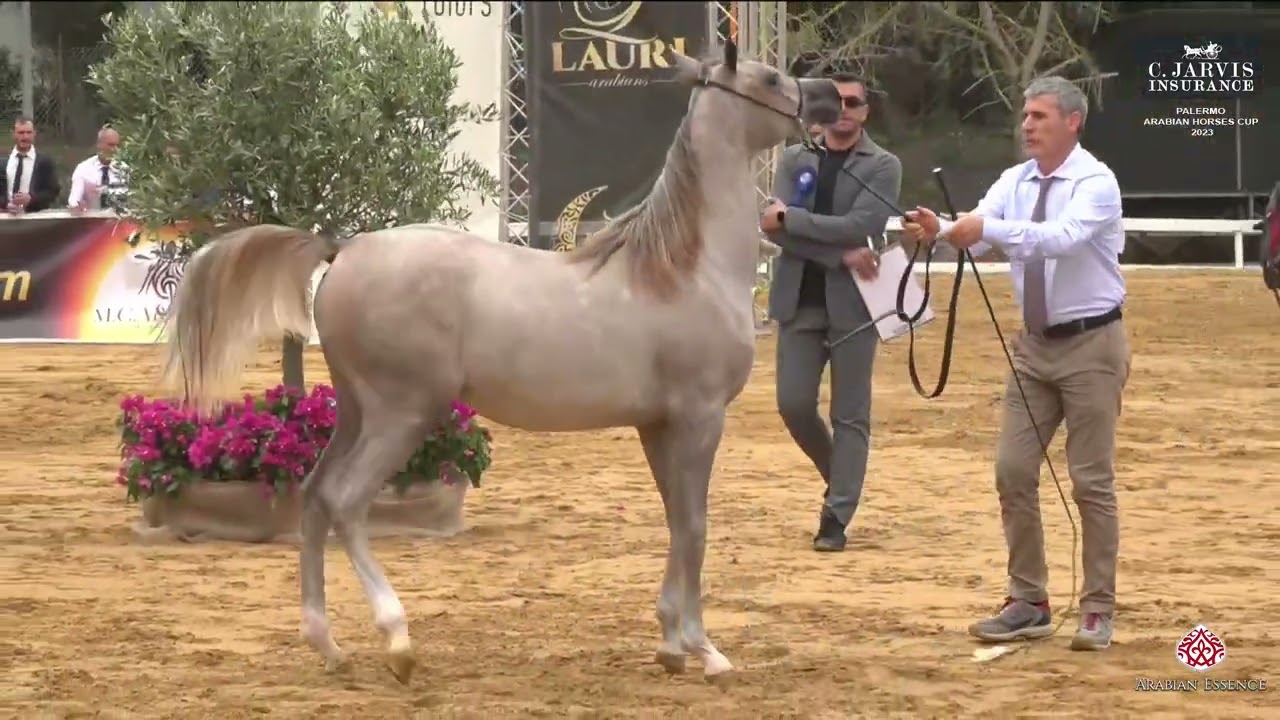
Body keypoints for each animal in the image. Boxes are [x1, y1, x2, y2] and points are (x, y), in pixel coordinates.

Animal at [156, 40, 841, 686]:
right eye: (770, 78)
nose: (834, 97)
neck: (681, 270)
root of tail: (342, 248)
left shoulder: (658, 425)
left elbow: (677, 522)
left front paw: (672, 643)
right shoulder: (700, 418)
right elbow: (696, 527)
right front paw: (705, 651)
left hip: (355, 412)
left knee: (316, 496)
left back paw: (327, 644)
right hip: (402, 415)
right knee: (347, 503)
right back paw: (396, 639)